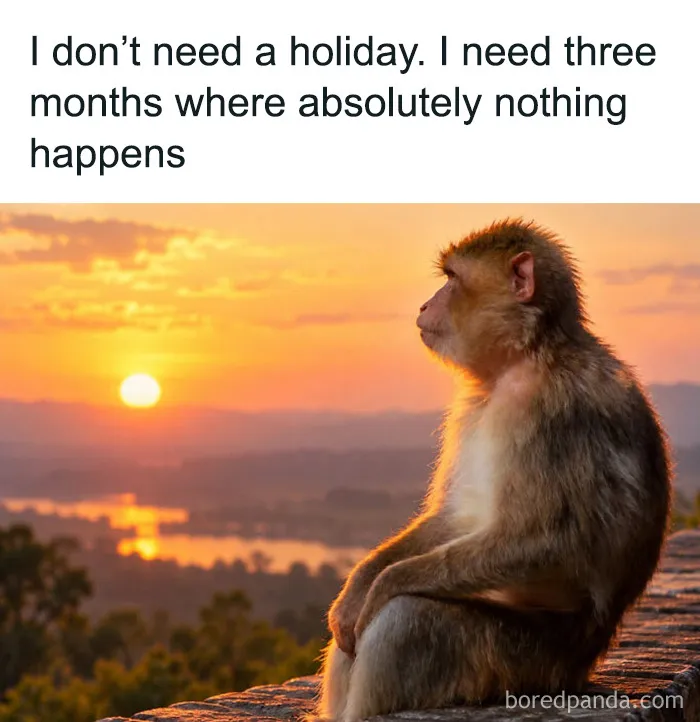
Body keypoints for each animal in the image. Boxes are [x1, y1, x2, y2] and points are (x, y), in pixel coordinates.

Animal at [316, 219, 671, 722]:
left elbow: (549, 539)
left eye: (452, 278)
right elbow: (458, 516)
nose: (425, 303)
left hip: (531, 663)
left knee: (408, 622)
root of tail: (581, 668)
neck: (527, 356)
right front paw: (359, 585)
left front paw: (386, 583)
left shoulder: (552, 410)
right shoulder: (474, 408)